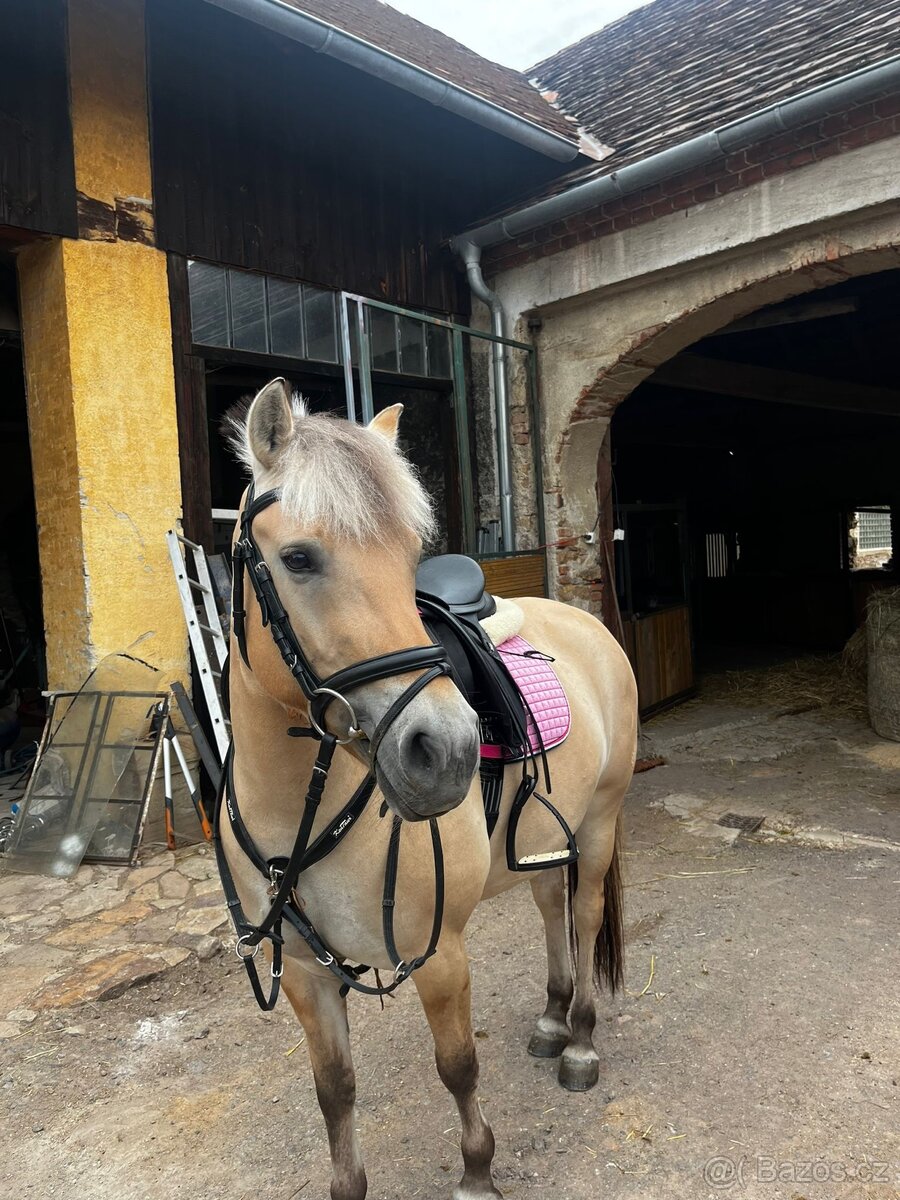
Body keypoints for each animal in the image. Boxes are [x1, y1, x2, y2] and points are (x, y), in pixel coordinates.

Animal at [219, 377, 638, 1200]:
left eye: (409, 556)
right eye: (298, 557)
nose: (446, 750)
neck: (298, 813)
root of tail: (585, 622)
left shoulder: (439, 955)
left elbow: (457, 1066)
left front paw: (477, 1172)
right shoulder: (306, 978)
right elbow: (335, 1092)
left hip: (600, 824)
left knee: (583, 912)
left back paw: (578, 1040)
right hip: (545, 837)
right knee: (552, 905)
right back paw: (552, 1019)